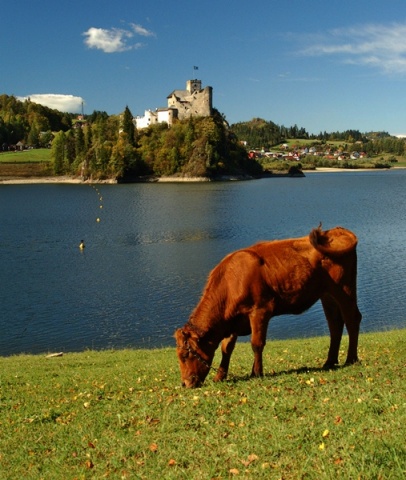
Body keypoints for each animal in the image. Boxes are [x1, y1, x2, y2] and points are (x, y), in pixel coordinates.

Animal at [174, 227, 362, 388]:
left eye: (185, 355)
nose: (185, 383)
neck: (231, 282)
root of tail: (336, 231)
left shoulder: (260, 310)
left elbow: (257, 343)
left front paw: (256, 373)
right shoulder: (233, 321)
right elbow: (226, 348)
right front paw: (220, 376)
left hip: (344, 289)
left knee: (352, 319)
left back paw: (351, 359)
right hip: (327, 295)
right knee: (334, 325)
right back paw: (329, 362)